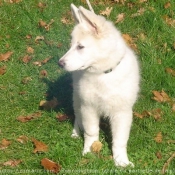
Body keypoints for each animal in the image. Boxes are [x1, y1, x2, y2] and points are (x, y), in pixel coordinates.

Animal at [58, 3, 139, 167]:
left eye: (80, 47)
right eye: (71, 45)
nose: (60, 63)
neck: (103, 74)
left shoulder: (122, 112)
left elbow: (120, 140)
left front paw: (121, 161)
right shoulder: (89, 107)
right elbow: (91, 132)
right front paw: (89, 152)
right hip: (78, 98)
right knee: (77, 116)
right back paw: (76, 132)